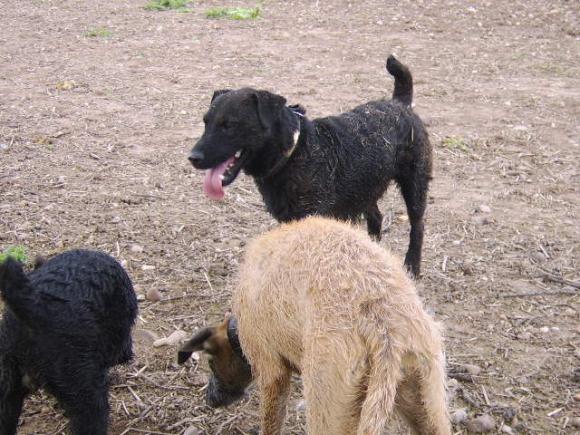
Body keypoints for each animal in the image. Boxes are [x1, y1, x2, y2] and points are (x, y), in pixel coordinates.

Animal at [179, 217, 451, 435]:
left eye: (211, 363)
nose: (210, 399)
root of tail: (384, 327)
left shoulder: (271, 372)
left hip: (327, 406)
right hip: (427, 403)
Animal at [188, 55, 432, 277]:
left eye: (229, 124)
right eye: (205, 121)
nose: (193, 157)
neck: (294, 152)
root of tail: (400, 103)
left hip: (415, 185)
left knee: (417, 226)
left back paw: (412, 266)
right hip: (365, 189)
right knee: (376, 218)